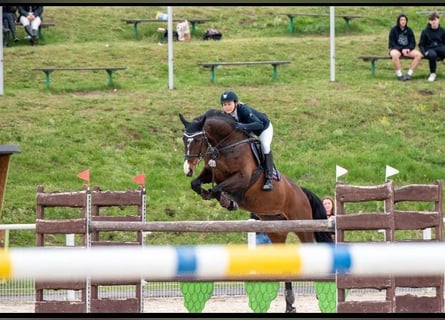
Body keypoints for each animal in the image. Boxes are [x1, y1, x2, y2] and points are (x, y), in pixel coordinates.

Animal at [179, 108, 332, 312]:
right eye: (183, 139)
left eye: (196, 140)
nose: (187, 169)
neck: (226, 145)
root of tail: (301, 191)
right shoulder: (213, 173)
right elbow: (196, 184)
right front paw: (209, 194)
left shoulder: (242, 177)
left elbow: (219, 188)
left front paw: (227, 201)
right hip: (276, 231)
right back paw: (289, 304)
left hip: (303, 227)